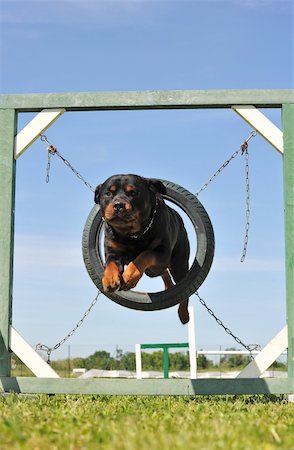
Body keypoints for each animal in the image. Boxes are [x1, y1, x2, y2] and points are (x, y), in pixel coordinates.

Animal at [94, 173, 191, 324]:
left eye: (133, 193)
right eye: (108, 193)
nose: (118, 205)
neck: (132, 234)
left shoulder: (162, 253)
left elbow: (144, 255)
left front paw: (129, 277)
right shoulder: (113, 251)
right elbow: (110, 264)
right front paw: (109, 279)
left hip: (178, 264)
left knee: (183, 290)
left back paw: (183, 314)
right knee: (163, 273)